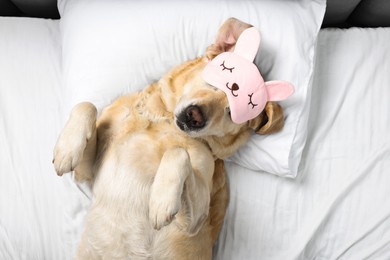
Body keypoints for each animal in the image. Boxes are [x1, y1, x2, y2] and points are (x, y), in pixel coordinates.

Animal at [52, 18, 286, 260]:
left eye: (231, 112)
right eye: (216, 82)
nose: (195, 116)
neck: (162, 121)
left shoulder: (195, 218)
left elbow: (177, 153)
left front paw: (161, 200)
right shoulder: (85, 173)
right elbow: (86, 105)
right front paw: (66, 150)